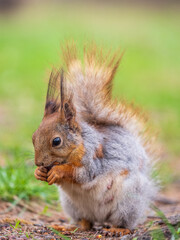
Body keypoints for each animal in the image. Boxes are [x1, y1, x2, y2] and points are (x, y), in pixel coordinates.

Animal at [32, 42, 158, 232]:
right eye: (33, 137)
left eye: (56, 141)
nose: (38, 163)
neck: (79, 143)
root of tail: (101, 218)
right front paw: (39, 172)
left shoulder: (93, 158)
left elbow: (83, 173)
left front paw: (59, 171)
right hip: (72, 206)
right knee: (86, 223)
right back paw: (71, 227)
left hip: (128, 201)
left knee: (124, 222)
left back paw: (117, 229)